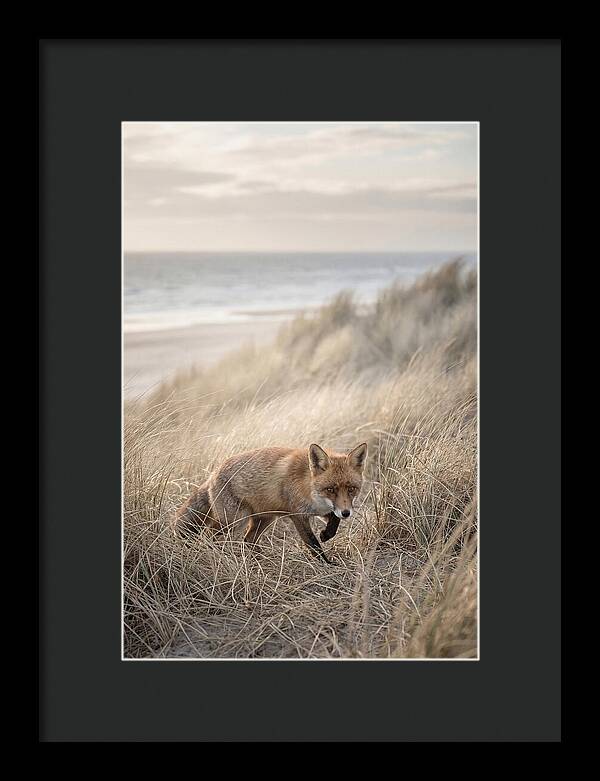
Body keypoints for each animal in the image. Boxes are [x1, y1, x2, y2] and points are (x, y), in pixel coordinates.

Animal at [172, 442, 368, 564]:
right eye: (331, 489)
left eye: (351, 489)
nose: (347, 513)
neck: (309, 486)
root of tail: (212, 473)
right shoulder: (298, 515)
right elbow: (313, 544)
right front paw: (326, 564)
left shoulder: (323, 510)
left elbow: (334, 521)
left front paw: (326, 534)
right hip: (234, 521)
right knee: (210, 535)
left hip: (264, 519)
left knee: (248, 539)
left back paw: (258, 559)